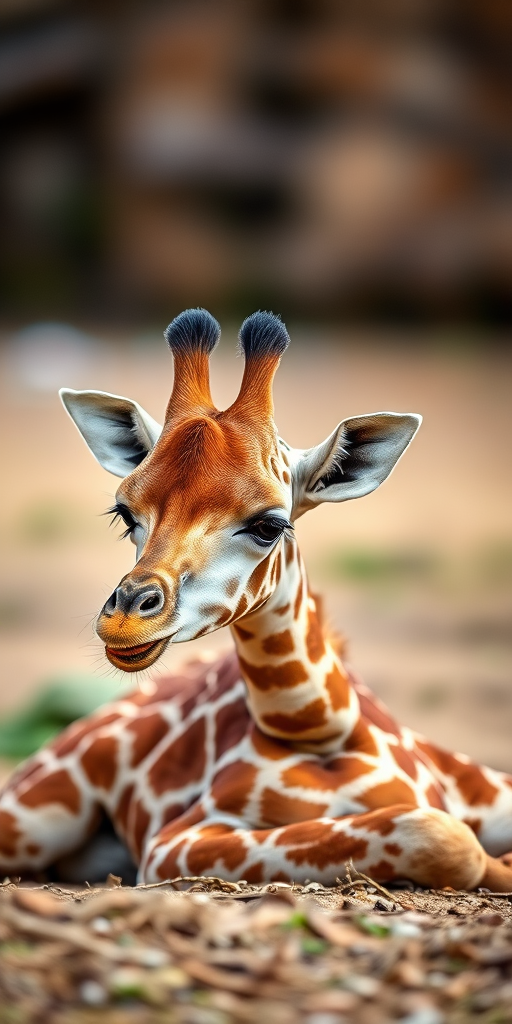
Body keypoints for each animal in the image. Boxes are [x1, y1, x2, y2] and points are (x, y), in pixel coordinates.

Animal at [1, 308, 512, 891]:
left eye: (270, 525)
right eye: (125, 514)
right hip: (34, 817)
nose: (125, 621)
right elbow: (440, 833)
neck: (318, 726)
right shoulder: (175, 841)